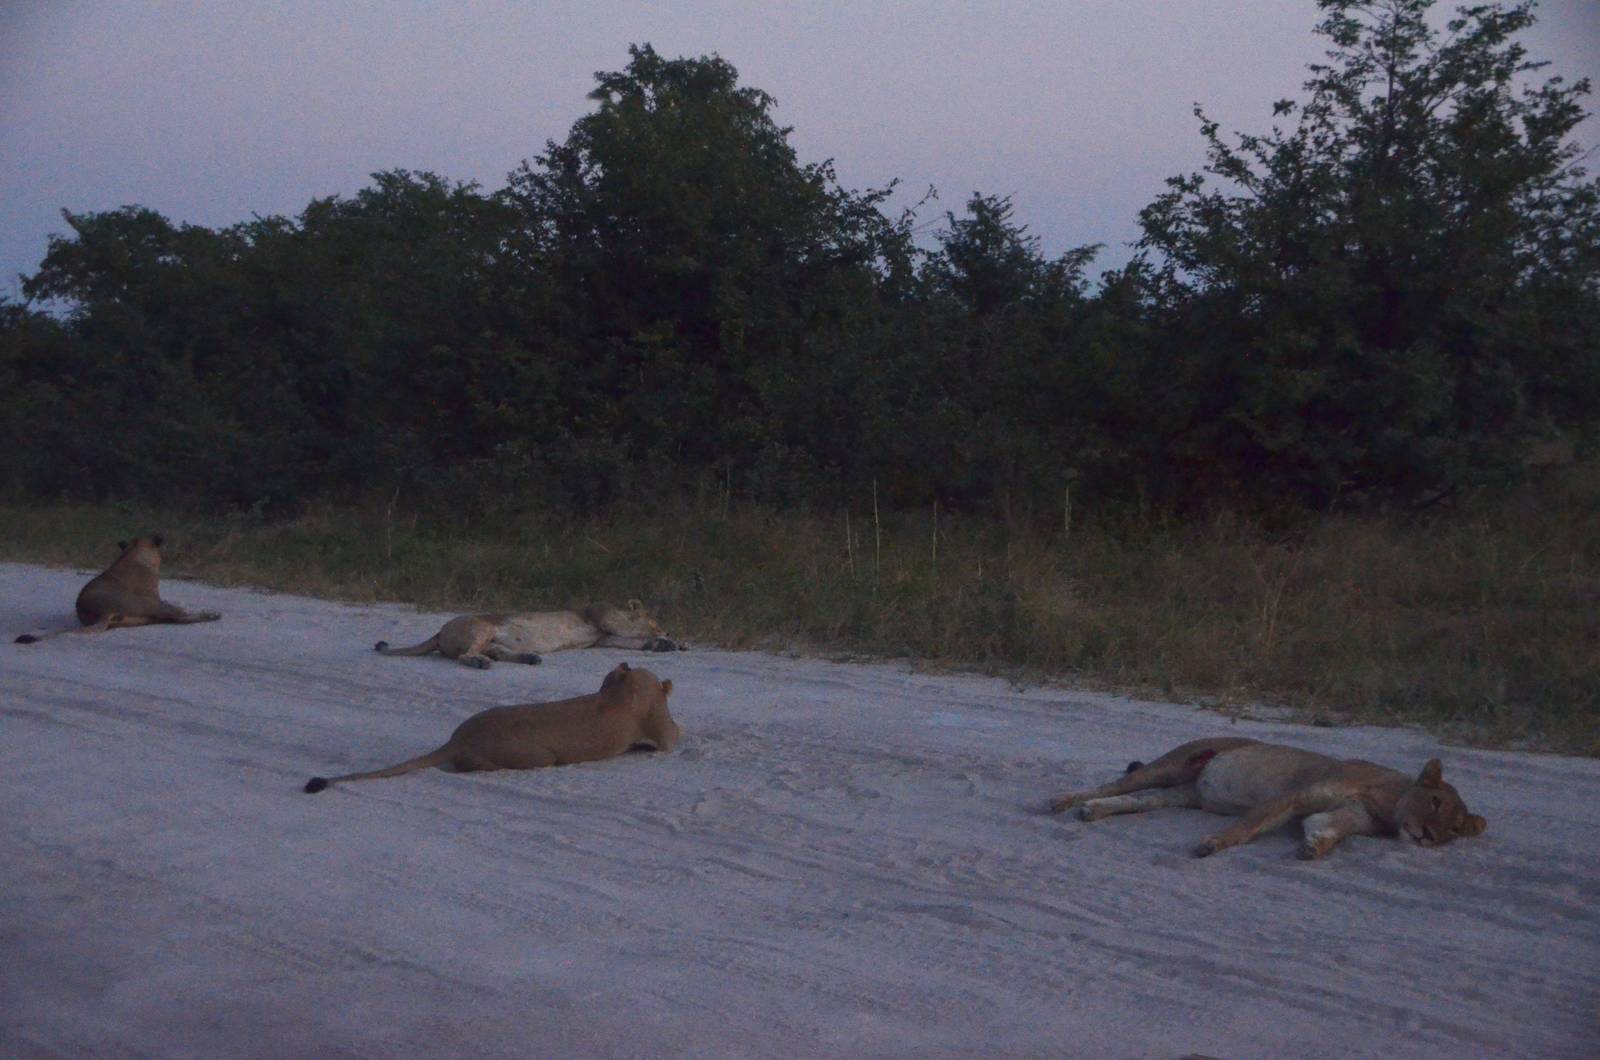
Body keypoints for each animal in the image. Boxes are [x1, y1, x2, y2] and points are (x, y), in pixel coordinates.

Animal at [13, 534, 221, 644]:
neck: (133, 553)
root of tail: (101, 612)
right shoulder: (155, 598)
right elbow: (178, 610)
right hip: (147, 605)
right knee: (180, 618)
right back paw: (212, 615)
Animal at [1048, 737, 1486, 860]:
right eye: (1435, 803)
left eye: (1454, 829)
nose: (1428, 836)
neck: (1387, 805)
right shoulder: (1296, 794)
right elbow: (1248, 825)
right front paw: (1212, 844)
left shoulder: (1345, 816)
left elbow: (1327, 831)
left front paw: (1314, 847)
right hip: (1169, 766)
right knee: (1115, 785)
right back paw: (1066, 800)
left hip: (1180, 795)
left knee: (1137, 803)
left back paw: (1092, 812)